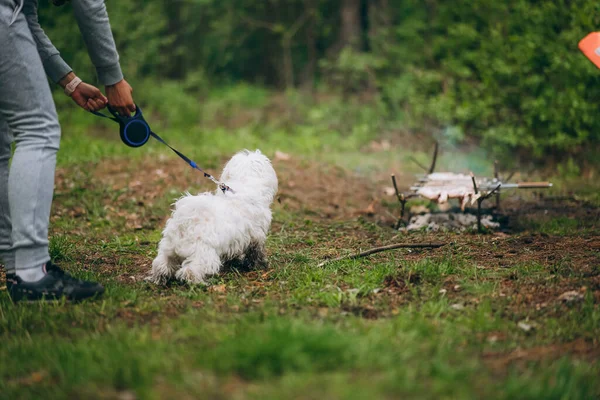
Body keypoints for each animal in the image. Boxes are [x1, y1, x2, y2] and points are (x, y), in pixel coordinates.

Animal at [150, 150, 282, 284]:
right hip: (203, 253)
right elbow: (256, 252)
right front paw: (259, 265)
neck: (245, 184)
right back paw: (197, 282)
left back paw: (160, 278)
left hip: (168, 248)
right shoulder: (256, 235)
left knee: (161, 264)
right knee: (190, 271)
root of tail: (185, 222)